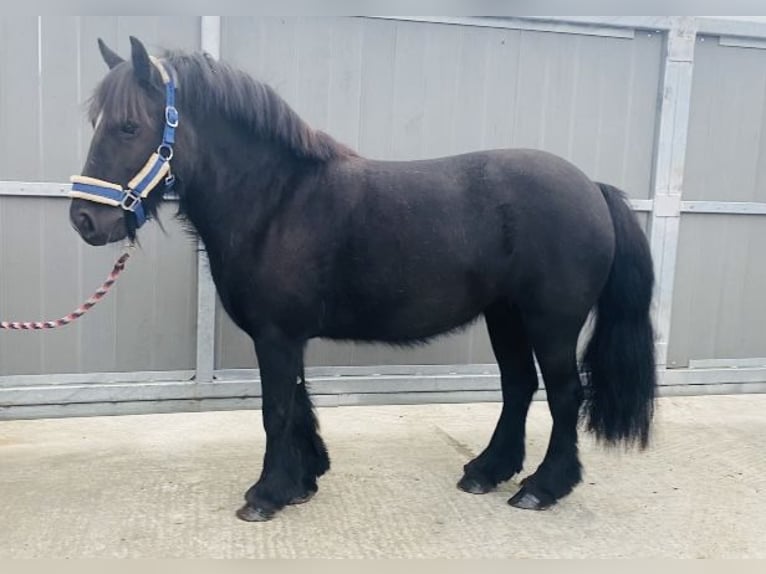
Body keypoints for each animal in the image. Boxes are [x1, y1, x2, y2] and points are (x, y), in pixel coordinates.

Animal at [69, 36, 660, 520]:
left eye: (128, 126)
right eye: (97, 123)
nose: (85, 220)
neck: (276, 199)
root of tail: (591, 187)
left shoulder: (276, 336)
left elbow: (276, 409)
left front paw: (267, 494)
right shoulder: (286, 337)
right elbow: (298, 403)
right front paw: (302, 481)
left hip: (550, 321)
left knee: (564, 394)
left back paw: (543, 487)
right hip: (506, 316)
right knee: (519, 386)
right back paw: (487, 471)